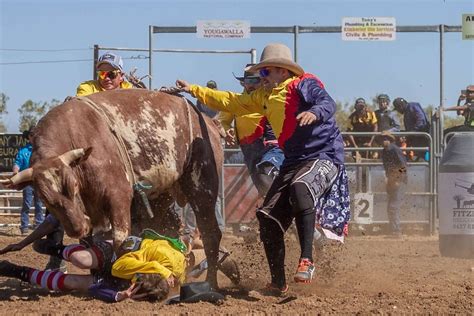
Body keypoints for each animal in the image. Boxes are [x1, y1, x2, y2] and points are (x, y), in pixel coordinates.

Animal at [0, 89, 223, 288]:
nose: (77, 227)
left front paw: (118, 279)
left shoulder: (119, 197)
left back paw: (211, 283)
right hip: (162, 197)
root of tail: (209, 124)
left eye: (73, 185)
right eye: (45, 198)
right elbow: (87, 242)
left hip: (203, 187)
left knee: (211, 233)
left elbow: (120, 240)